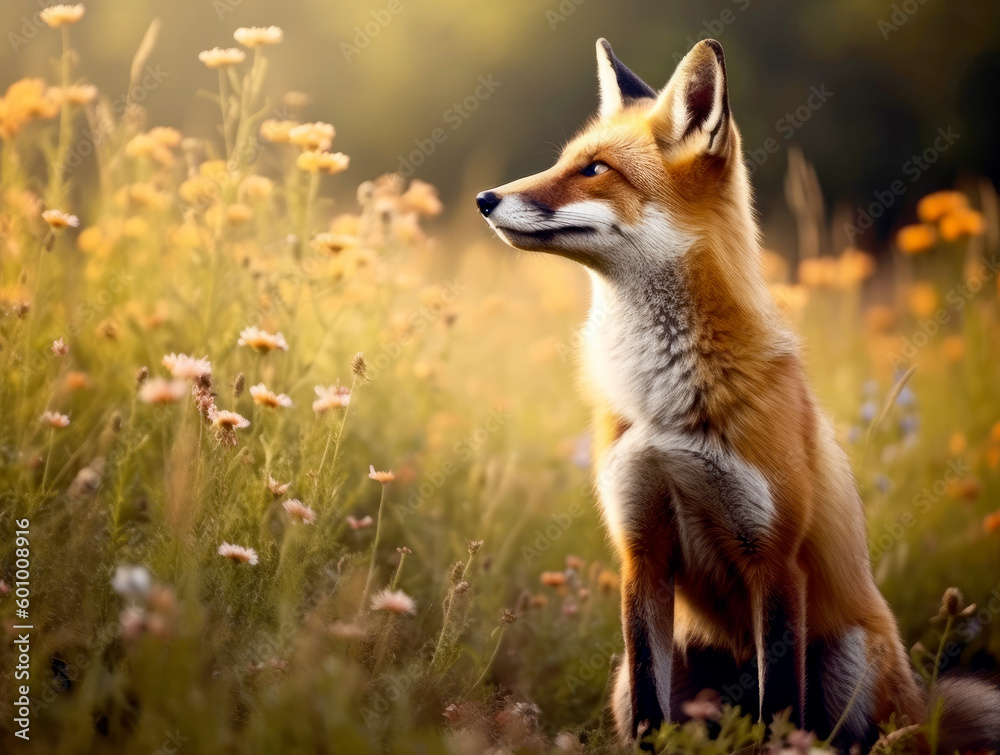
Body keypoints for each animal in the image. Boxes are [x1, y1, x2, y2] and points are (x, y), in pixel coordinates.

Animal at [476, 38, 1000, 752]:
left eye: (595, 170)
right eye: (564, 163)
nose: (484, 198)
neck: (663, 405)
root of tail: (924, 705)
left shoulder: (774, 559)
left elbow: (777, 707)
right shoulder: (641, 551)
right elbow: (652, 713)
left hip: (848, 660)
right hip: (641, 673)